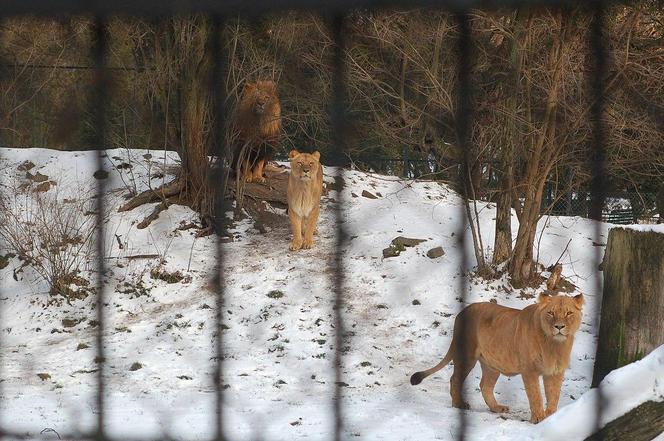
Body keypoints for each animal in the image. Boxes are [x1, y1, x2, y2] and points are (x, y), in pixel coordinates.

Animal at [410, 292, 580, 422]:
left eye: (569, 313)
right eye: (551, 313)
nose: (559, 327)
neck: (554, 344)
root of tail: (462, 312)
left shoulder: (556, 371)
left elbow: (554, 395)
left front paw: (551, 418)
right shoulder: (529, 370)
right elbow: (536, 395)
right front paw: (538, 419)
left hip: (492, 364)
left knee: (485, 386)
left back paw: (496, 408)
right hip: (467, 356)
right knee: (455, 379)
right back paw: (459, 404)